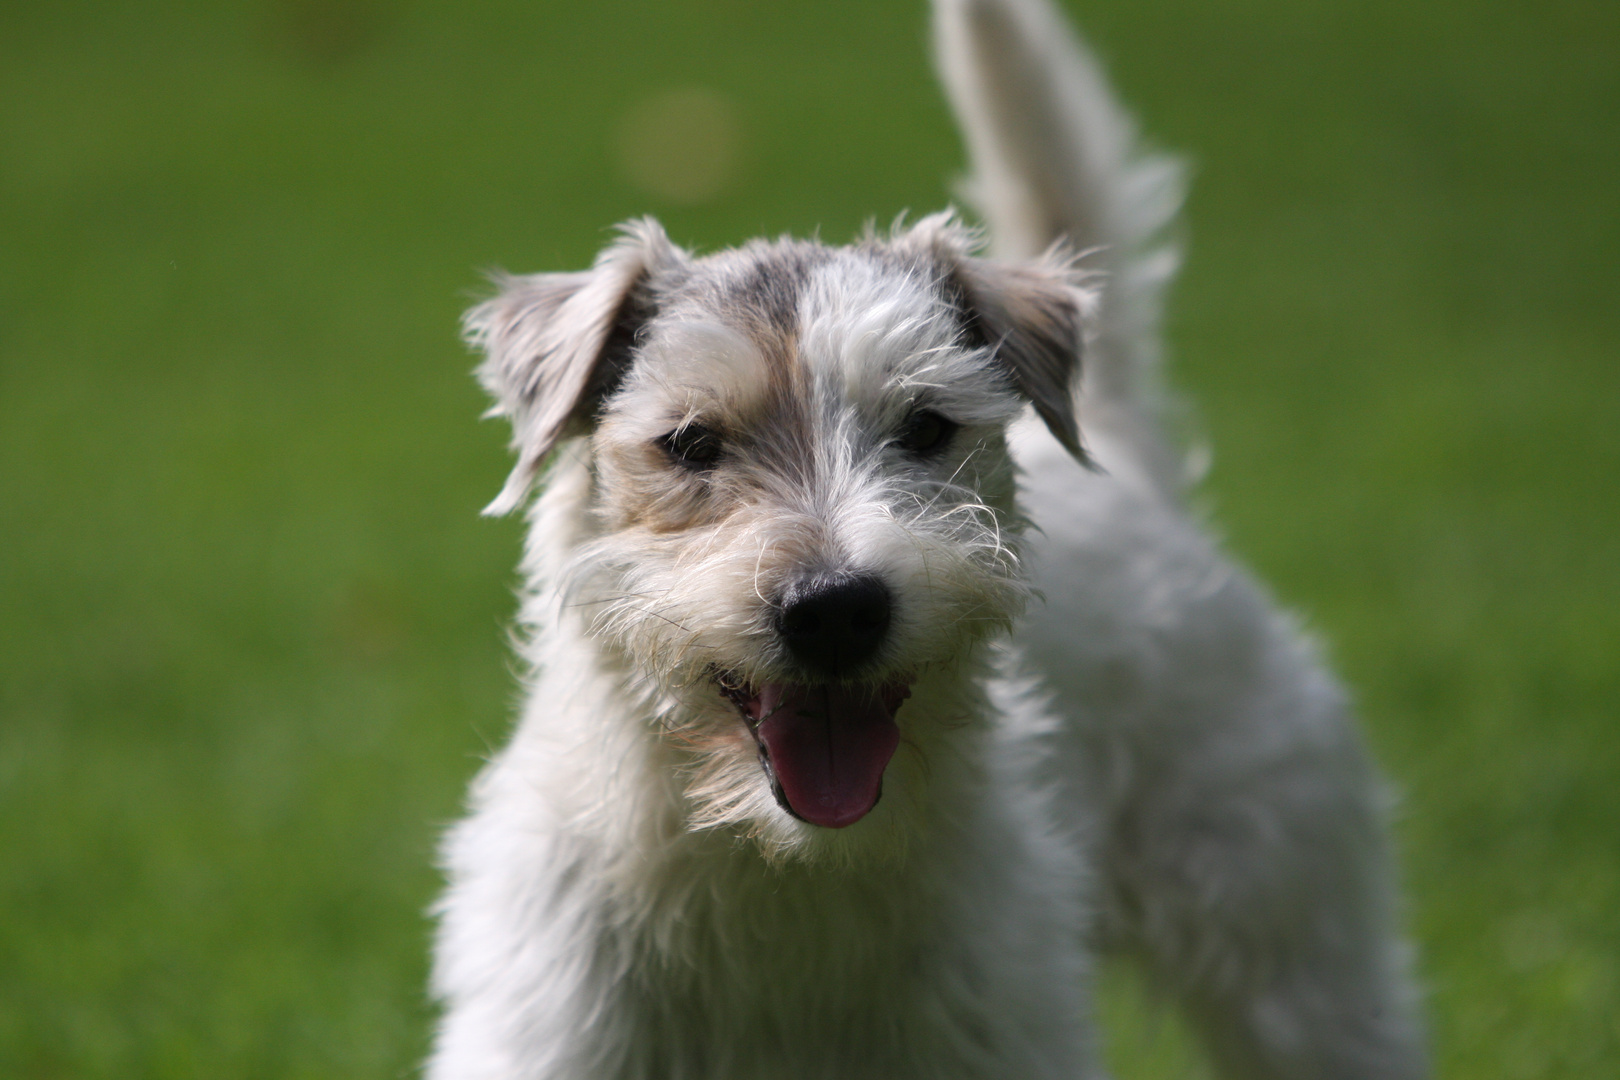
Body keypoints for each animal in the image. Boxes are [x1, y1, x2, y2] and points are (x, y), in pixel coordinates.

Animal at [430, 2, 1432, 1080]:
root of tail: (1122, 450)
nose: (834, 610)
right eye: (691, 443)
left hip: (1295, 959)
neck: (784, 874)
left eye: (925, 427)